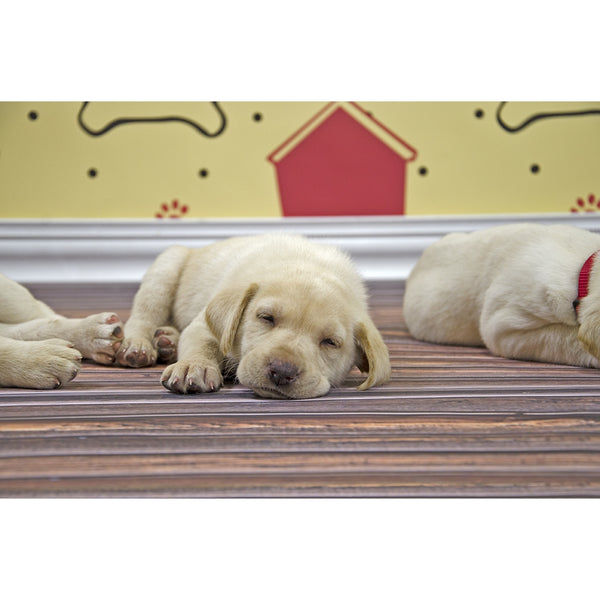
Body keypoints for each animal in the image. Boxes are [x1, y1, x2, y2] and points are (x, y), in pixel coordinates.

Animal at [117, 234, 392, 398]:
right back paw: (139, 345)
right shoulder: (204, 324)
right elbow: (202, 343)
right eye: (266, 318)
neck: (310, 265)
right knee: (143, 315)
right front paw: (194, 366)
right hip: (165, 268)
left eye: (330, 342)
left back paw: (167, 341)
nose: (282, 371)